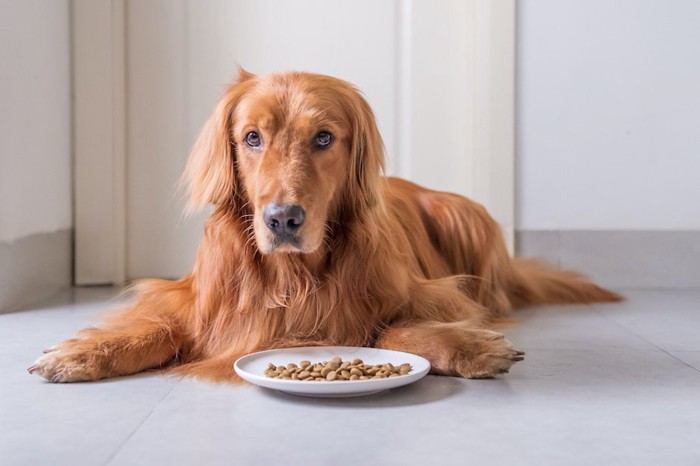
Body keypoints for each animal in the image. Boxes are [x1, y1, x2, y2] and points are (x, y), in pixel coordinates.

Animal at [27, 69, 620, 382]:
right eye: (251, 137)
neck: (295, 276)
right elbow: (164, 325)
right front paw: (85, 352)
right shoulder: (199, 298)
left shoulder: (431, 294)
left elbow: (392, 326)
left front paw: (469, 347)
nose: (283, 219)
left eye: (324, 138)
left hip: (465, 215)